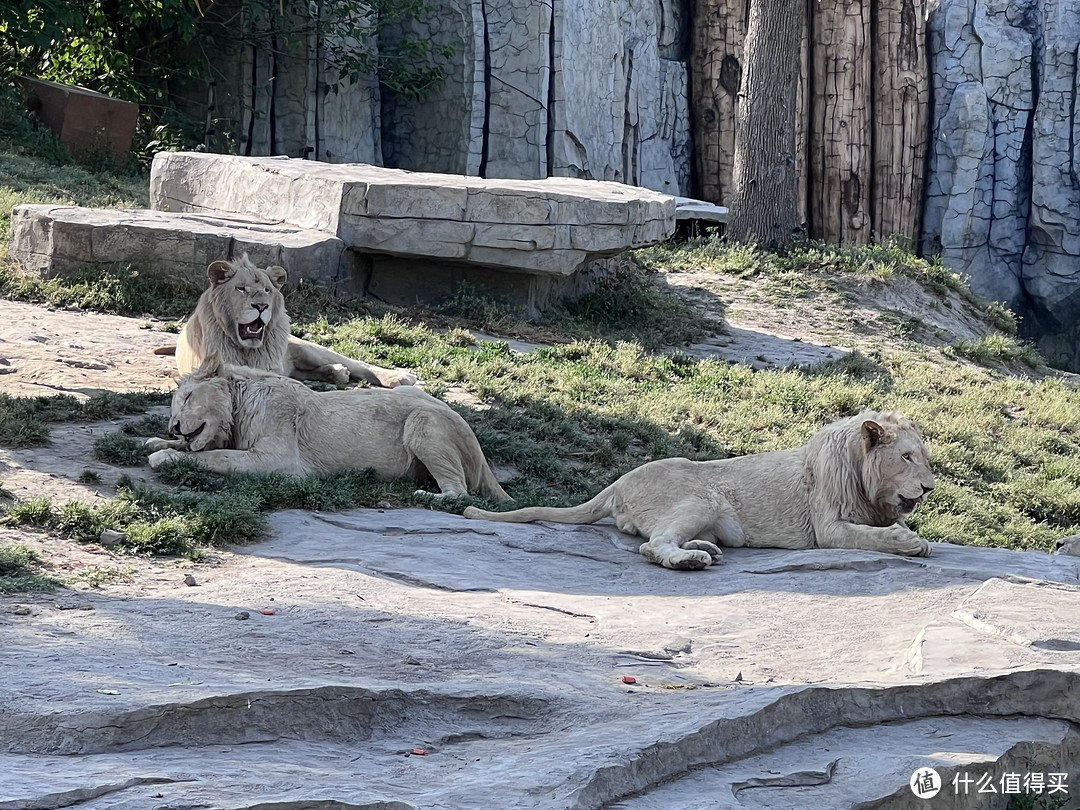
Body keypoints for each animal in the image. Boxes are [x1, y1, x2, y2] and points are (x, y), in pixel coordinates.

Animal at [149, 354, 514, 501]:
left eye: (188, 397)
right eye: (173, 407)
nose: (174, 426)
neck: (239, 402)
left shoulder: (281, 464)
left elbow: (215, 456)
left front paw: (164, 456)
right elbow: (208, 449)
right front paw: (156, 442)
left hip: (421, 423)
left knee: (460, 491)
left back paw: (428, 496)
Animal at [174, 257, 414, 390]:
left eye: (267, 290)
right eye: (241, 289)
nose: (261, 306)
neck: (247, 349)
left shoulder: (272, 367)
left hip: (309, 350)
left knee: (357, 363)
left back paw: (400, 377)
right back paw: (337, 372)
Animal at [464, 412, 937, 570]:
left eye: (926, 457)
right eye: (907, 457)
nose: (930, 488)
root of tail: (618, 481)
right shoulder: (828, 529)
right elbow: (866, 536)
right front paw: (911, 542)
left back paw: (705, 549)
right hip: (701, 498)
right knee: (652, 546)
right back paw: (690, 560)